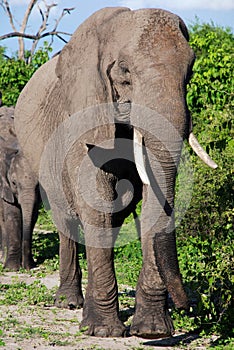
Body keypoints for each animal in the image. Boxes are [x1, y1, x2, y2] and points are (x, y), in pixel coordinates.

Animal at [13, 6, 217, 338]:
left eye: (189, 72)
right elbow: (96, 199)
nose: (186, 305)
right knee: (68, 219)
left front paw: (151, 331)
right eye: (124, 71)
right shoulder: (84, 117)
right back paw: (69, 304)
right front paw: (104, 332)